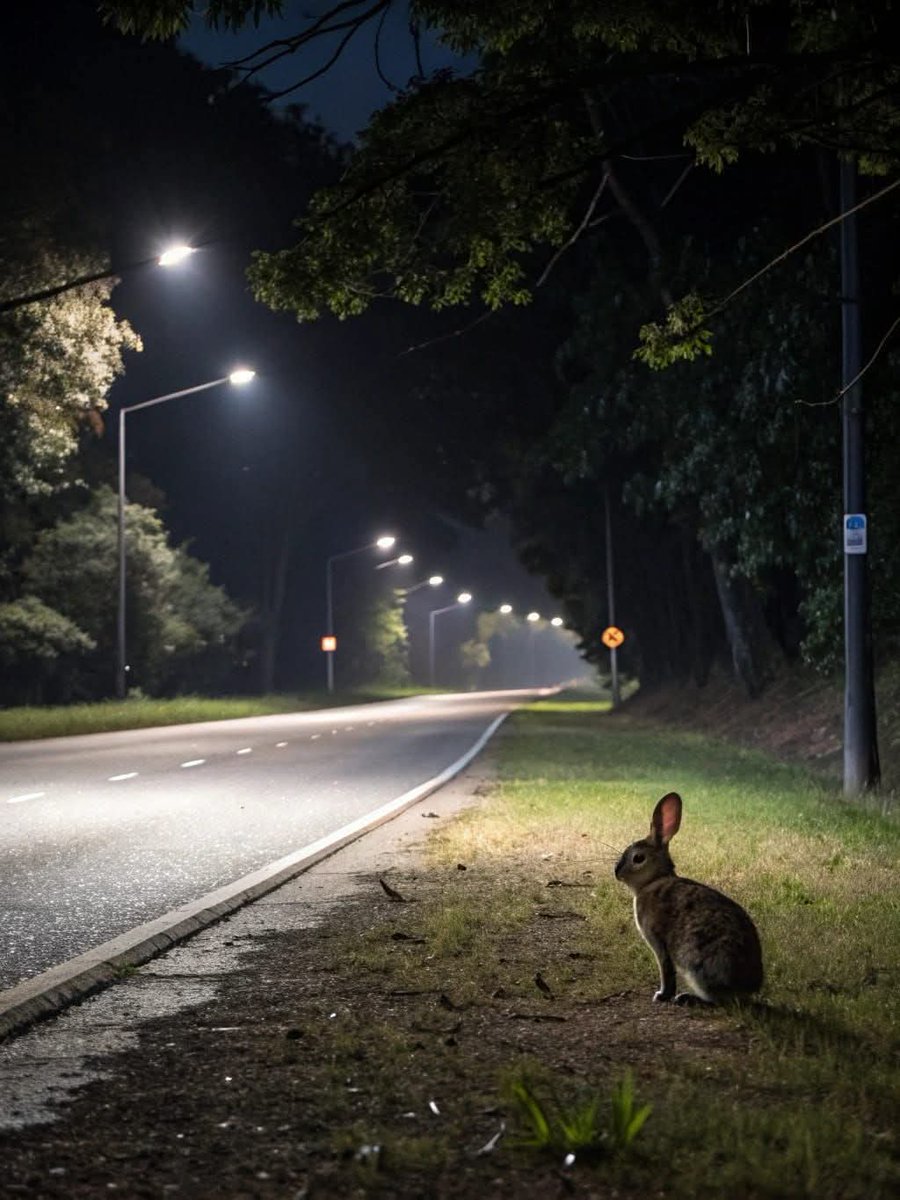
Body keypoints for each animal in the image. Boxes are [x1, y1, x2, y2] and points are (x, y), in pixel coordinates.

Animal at [614, 791, 763, 1004]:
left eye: (638, 858)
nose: (616, 873)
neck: (654, 880)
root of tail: (747, 988)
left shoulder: (658, 940)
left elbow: (666, 969)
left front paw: (662, 995)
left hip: (697, 962)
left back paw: (688, 998)